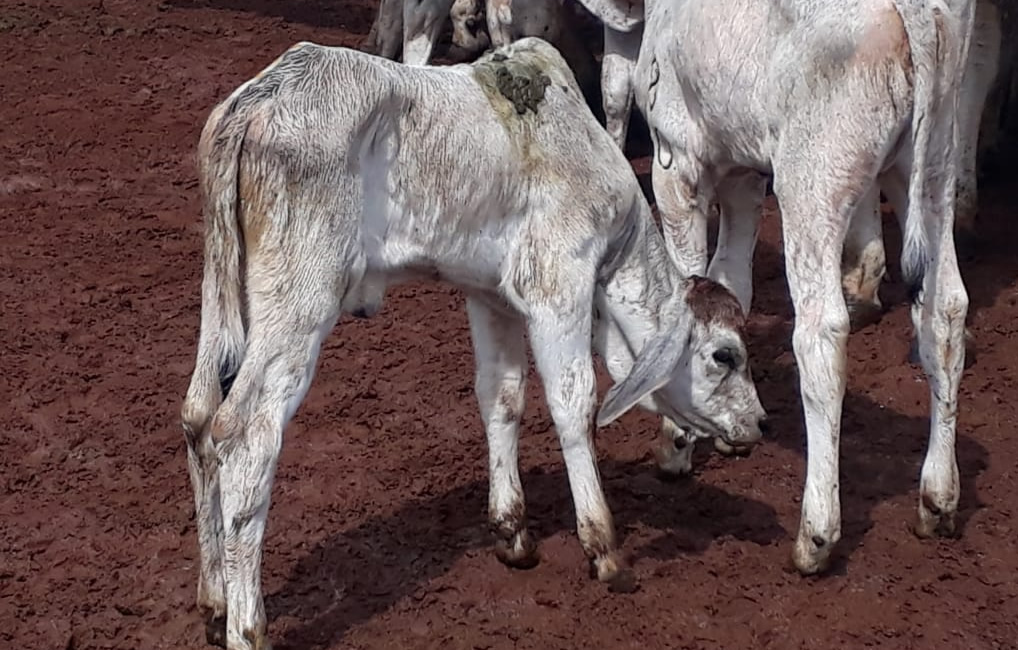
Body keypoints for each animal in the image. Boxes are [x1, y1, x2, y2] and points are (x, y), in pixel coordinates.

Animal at [179, 38, 765, 646]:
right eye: (725, 355)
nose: (760, 423)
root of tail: (262, 96)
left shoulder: (491, 297)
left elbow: (502, 397)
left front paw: (512, 532)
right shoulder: (559, 284)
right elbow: (574, 404)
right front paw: (605, 549)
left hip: (223, 293)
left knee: (200, 417)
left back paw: (215, 602)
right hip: (300, 302)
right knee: (244, 435)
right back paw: (247, 625)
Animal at [635, 0, 977, 577]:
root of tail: (915, 11)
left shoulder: (676, 159)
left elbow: (691, 292)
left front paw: (676, 444)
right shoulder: (742, 171)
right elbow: (730, 285)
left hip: (811, 185)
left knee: (821, 335)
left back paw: (816, 534)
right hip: (931, 168)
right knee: (945, 310)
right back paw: (937, 498)